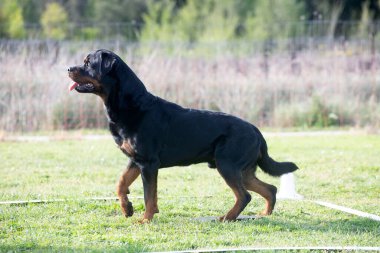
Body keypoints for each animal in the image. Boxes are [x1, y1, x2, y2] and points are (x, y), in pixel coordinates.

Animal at [69, 50, 300, 223]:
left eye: (88, 63)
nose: (68, 68)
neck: (130, 105)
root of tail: (256, 130)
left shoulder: (148, 163)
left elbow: (149, 195)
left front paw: (145, 219)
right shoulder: (135, 160)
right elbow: (121, 183)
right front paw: (127, 208)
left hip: (228, 165)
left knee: (245, 195)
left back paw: (227, 217)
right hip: (243, 170)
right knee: (269, 189)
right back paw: (264, 214)